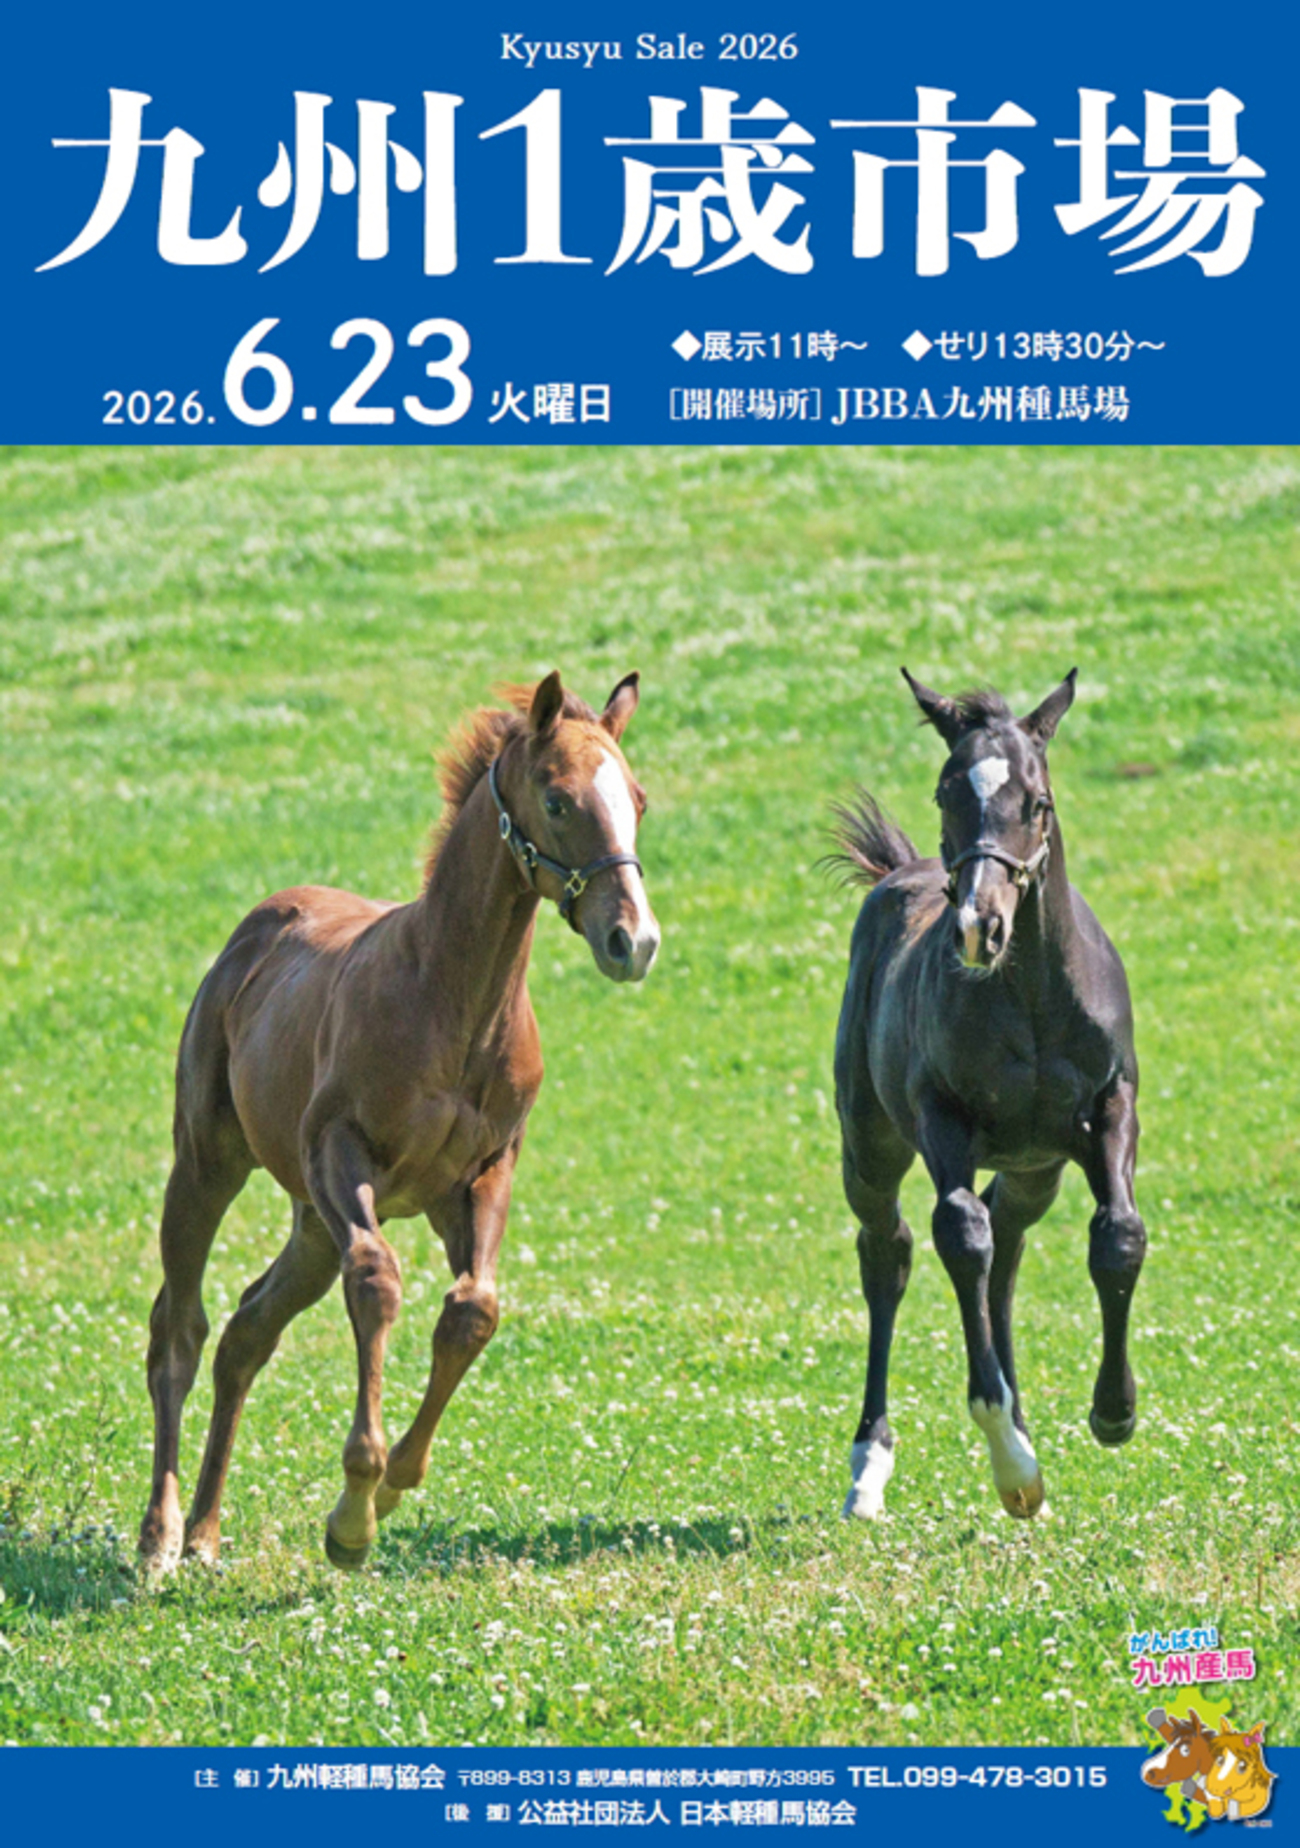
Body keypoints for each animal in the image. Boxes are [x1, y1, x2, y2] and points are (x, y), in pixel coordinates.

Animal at [137, 672, 660, 1573]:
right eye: (558, 800)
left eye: (638, 801)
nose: (634, 940)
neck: (451, 1001)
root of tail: (255, 930)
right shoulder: (339, 1156)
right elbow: (378, 1280)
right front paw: (353, 1515)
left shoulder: (482, 1174)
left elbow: (473, 1309)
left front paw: (388, 1490)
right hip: (208, 1162)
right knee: (181, 1325)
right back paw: (160, 1536)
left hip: (309, 1226)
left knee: (247, 1330)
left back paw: (205, 1535)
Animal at [831, 669, 1147, 1520]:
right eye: (947, 793)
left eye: (1037, 802)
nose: (981, 926)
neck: (1032, 998)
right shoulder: (943, 1119)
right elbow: (958, 1234)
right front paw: (1012, 1465)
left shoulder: (1111, 1107)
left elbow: (1118, 1235)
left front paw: (1114, 1410)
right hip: (869, 1146)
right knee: (892, 1251)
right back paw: (869, 1464)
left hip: (1037, 1166)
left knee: (1007, 1249)